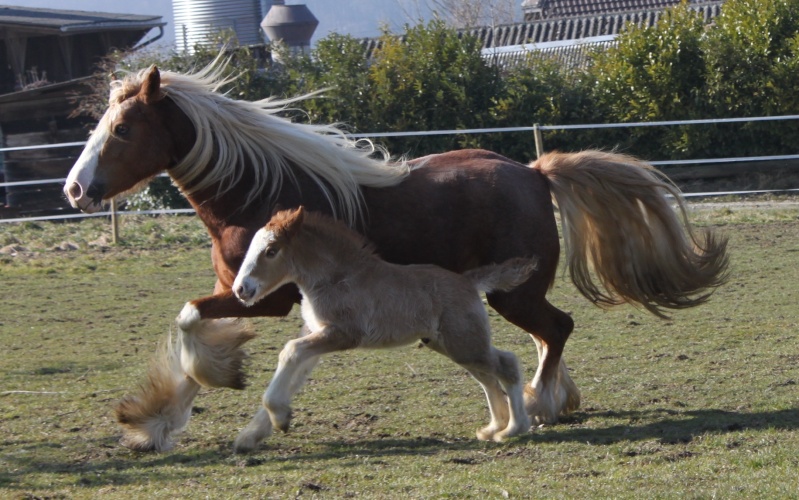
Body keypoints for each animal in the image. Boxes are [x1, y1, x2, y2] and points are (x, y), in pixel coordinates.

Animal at [64, 62, 732, 454]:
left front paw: (214, 395)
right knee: (543, 337)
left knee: (554, 330)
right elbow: (193, 336)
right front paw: (160, 422)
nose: (74, 188)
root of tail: (536, 171)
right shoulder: (247, 292)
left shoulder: (266, 297)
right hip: (505, 297)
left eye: (122, 128)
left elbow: (189, 325)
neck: (254, 189)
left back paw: (539, 406)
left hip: (512, 293)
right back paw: (548, 403)